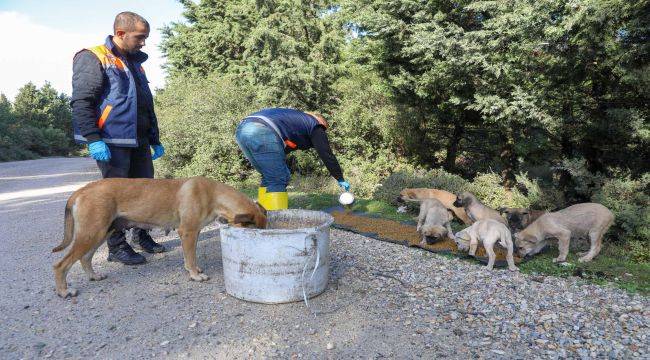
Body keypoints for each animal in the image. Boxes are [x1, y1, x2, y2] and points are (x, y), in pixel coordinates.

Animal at [52, 176, 266, 298]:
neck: (214, 194)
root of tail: (82, 190)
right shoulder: (187, 232)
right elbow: (190, 257)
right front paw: (195, 275)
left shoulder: (194, 233)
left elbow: (191, 257)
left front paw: (193, 269)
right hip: (91, 234)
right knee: (61, 265)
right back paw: (64, 291)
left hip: (100, 233)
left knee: (85, 258)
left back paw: (94, 276)